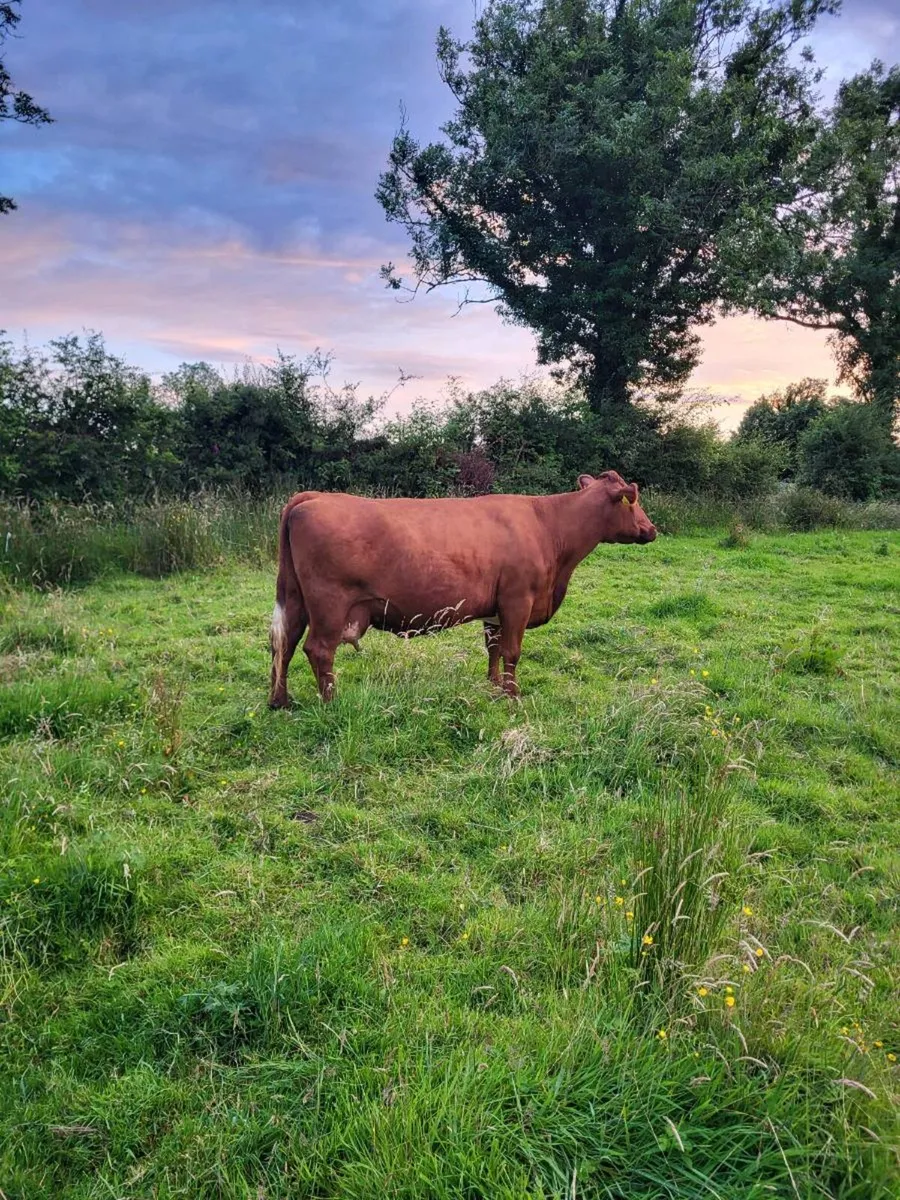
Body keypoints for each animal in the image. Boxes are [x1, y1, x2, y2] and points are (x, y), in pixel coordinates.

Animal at [268, 471, 656, 707]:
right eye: (633, 500)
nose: (651, 530)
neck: (549, 525)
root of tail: (313, 497)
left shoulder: (496, 609)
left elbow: (494, 648)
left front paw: (493, 685)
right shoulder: (518, 600)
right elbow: (512, 651)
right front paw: (513, 695)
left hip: (295, 598)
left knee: (284, 643)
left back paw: (281, 701)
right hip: (329, 605)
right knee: (318, 649)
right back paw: (332, 701)